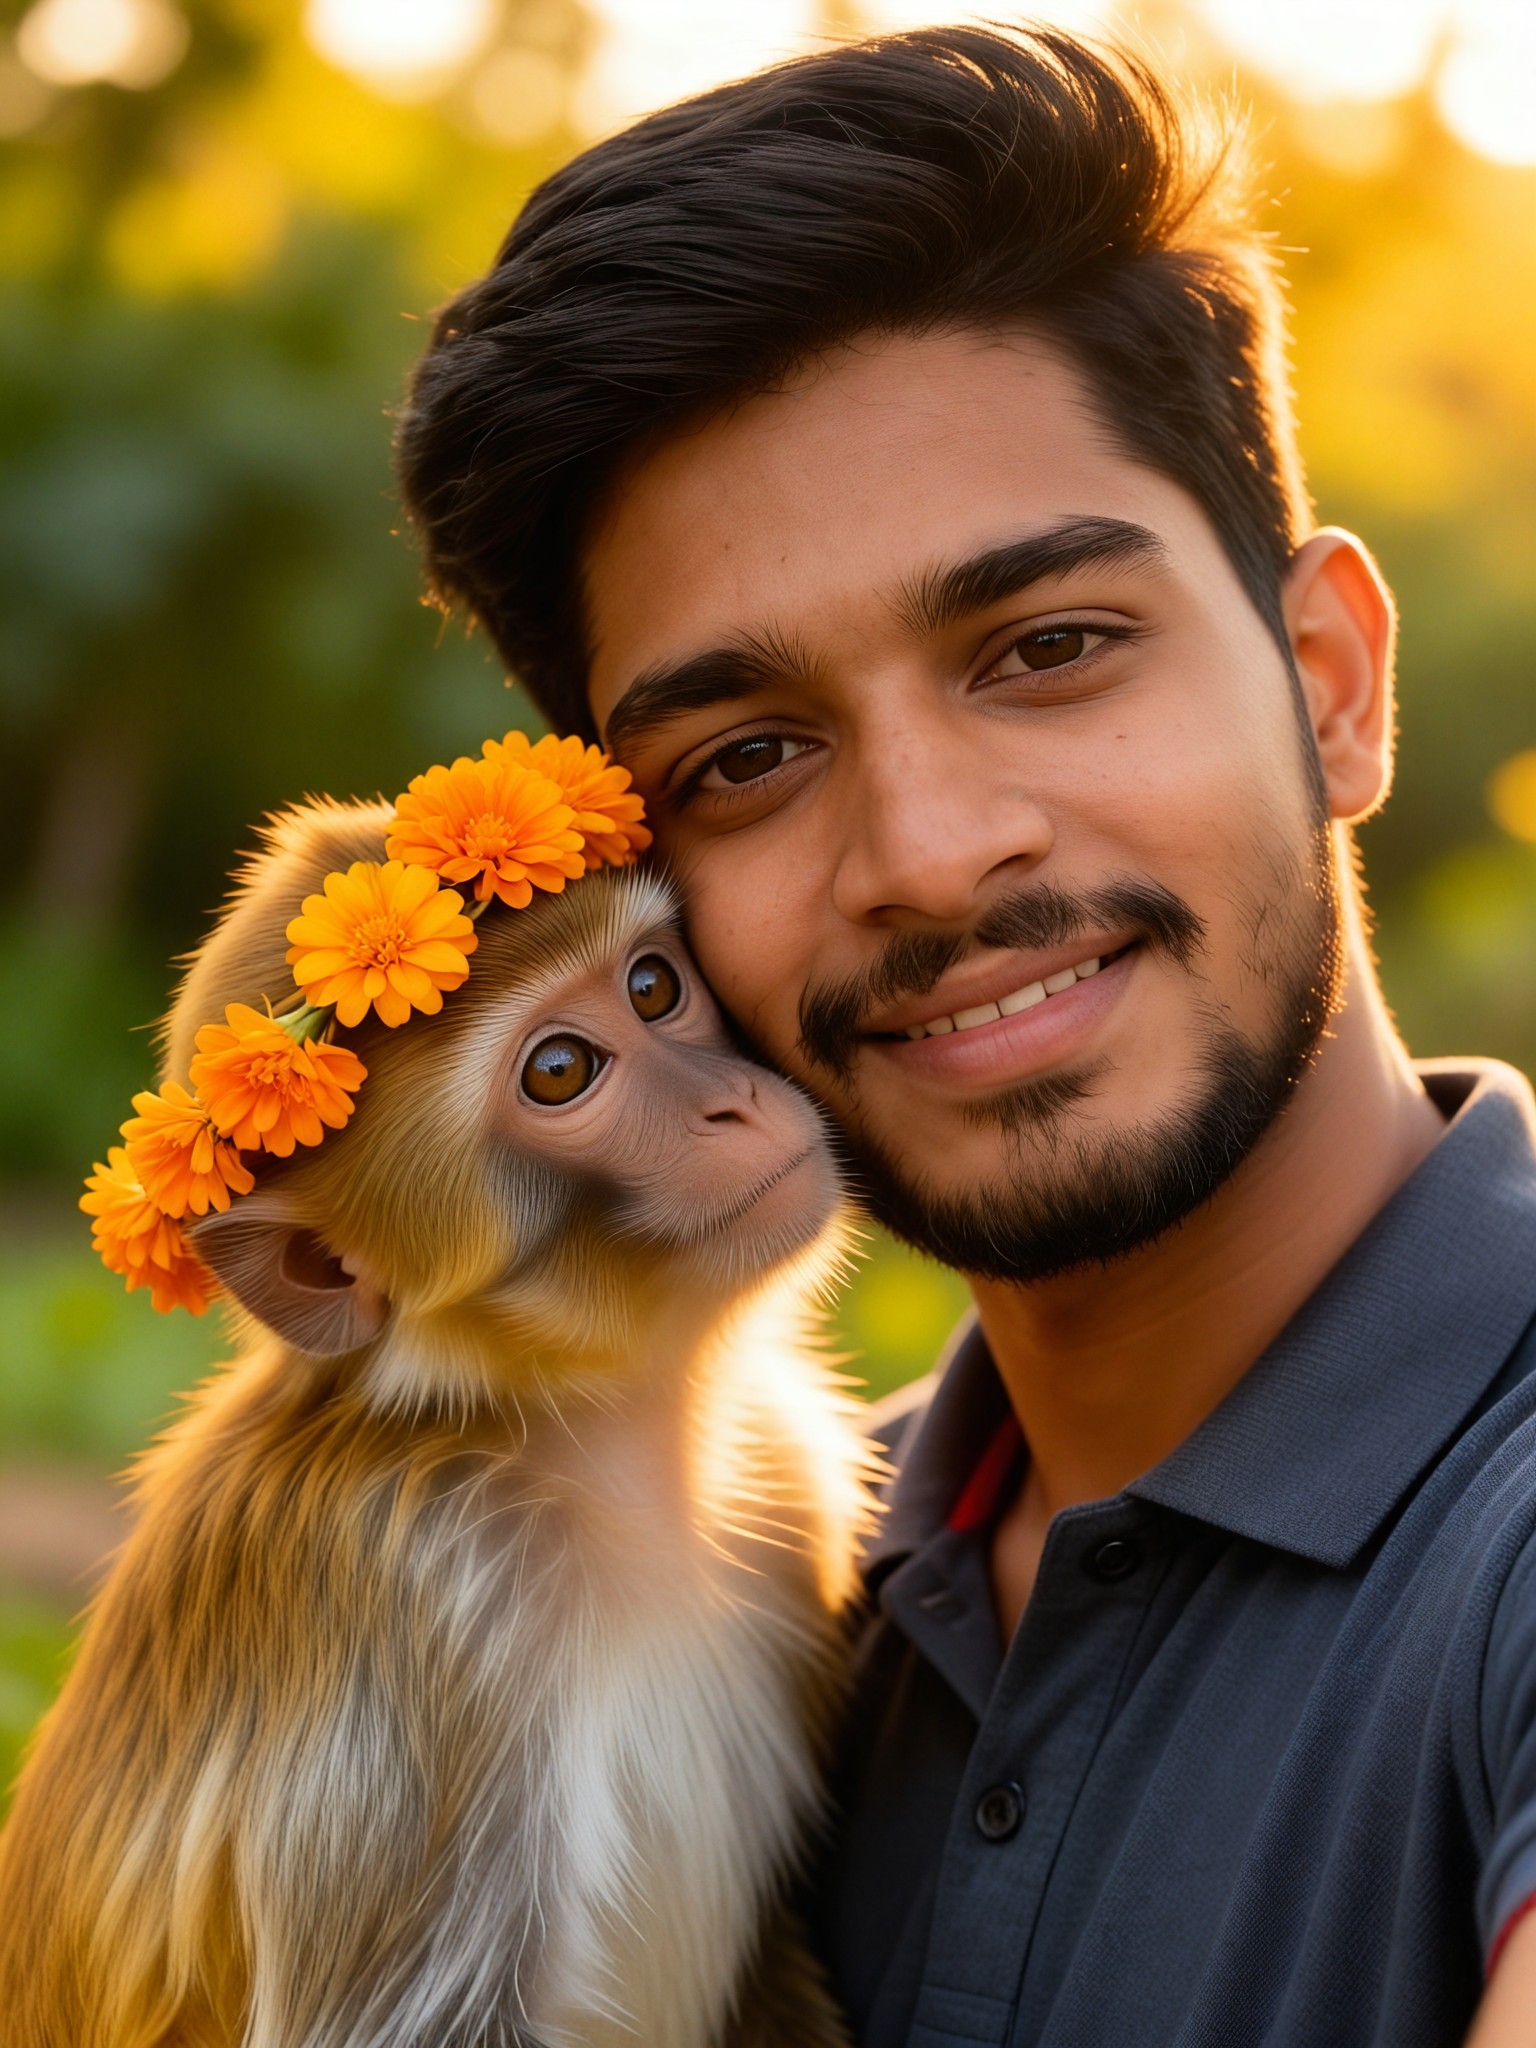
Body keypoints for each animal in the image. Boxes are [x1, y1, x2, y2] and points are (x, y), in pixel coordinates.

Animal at [0, 795, 874, 2048]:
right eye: (559, 1069)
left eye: (654, 985)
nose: (731, 1103)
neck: (564, 1425)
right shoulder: (426, 1586)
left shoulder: (790, 1477)